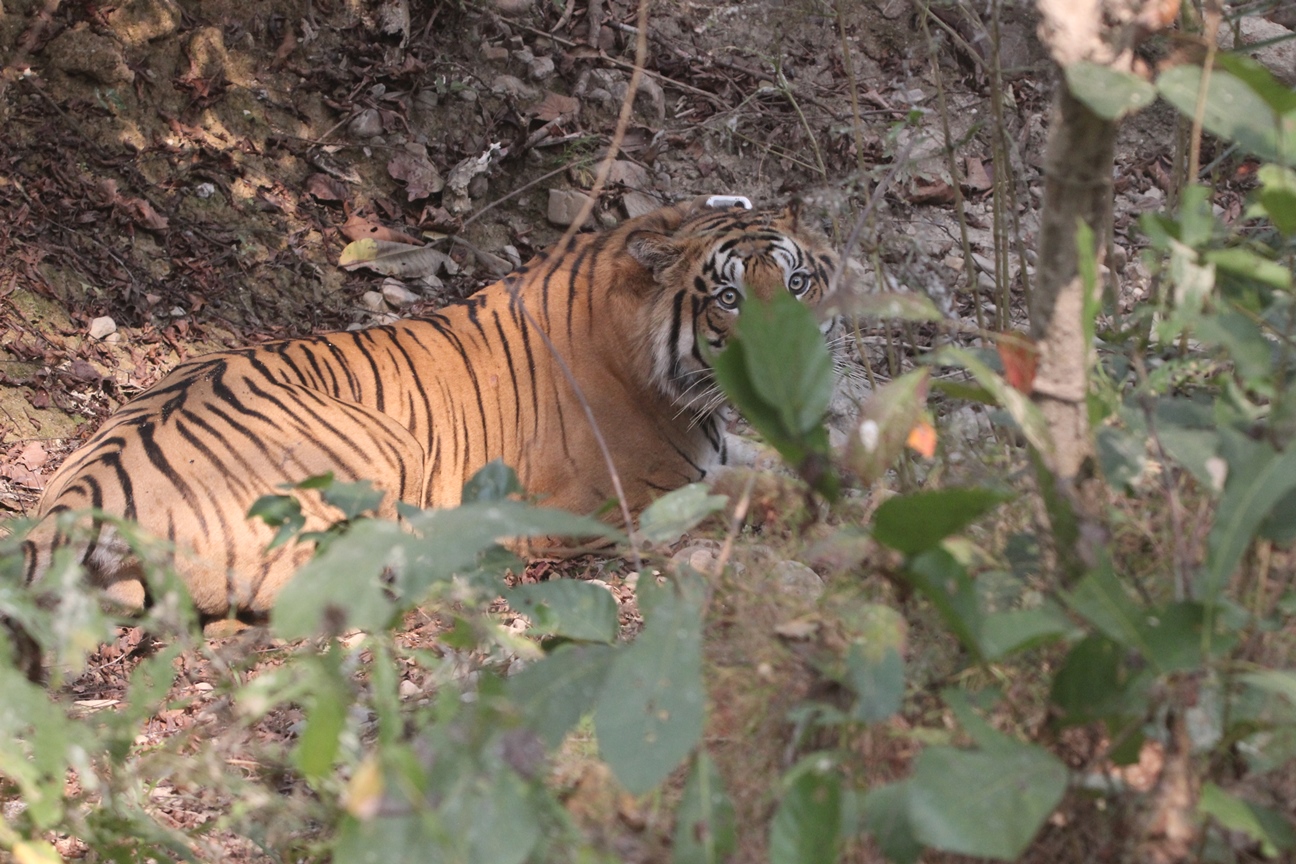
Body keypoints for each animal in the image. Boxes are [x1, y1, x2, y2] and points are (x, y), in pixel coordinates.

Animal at [20, 198, 839, 621]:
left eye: (797, 282)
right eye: (729, 295)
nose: (792, 352)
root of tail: (86, 491)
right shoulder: (624, 501)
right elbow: (743, 494)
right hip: (382, 447)